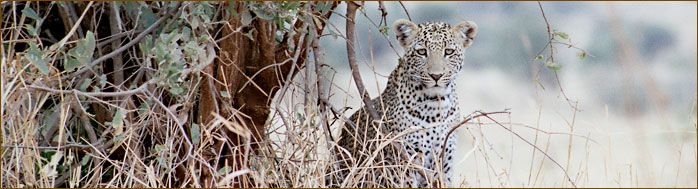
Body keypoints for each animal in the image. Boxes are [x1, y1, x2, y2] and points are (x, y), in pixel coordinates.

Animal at [328, 19, 476, 188]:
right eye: (422, 52)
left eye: (449, 52)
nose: (436, 76)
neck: (436, 106)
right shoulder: (402, 164)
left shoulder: (444, 166)